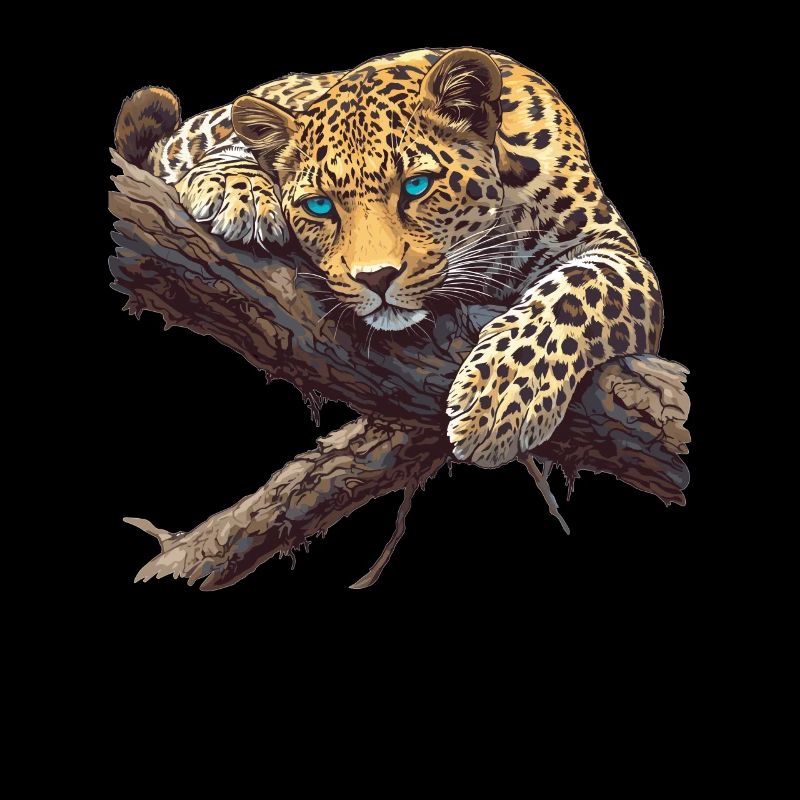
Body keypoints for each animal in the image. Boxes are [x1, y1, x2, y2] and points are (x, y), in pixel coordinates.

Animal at [114, 47, 663, 469]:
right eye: (320, 206)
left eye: (416, 186)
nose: (376, 278)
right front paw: (239, 186)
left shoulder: (613, 248)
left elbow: (575, 294)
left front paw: (501, 400)